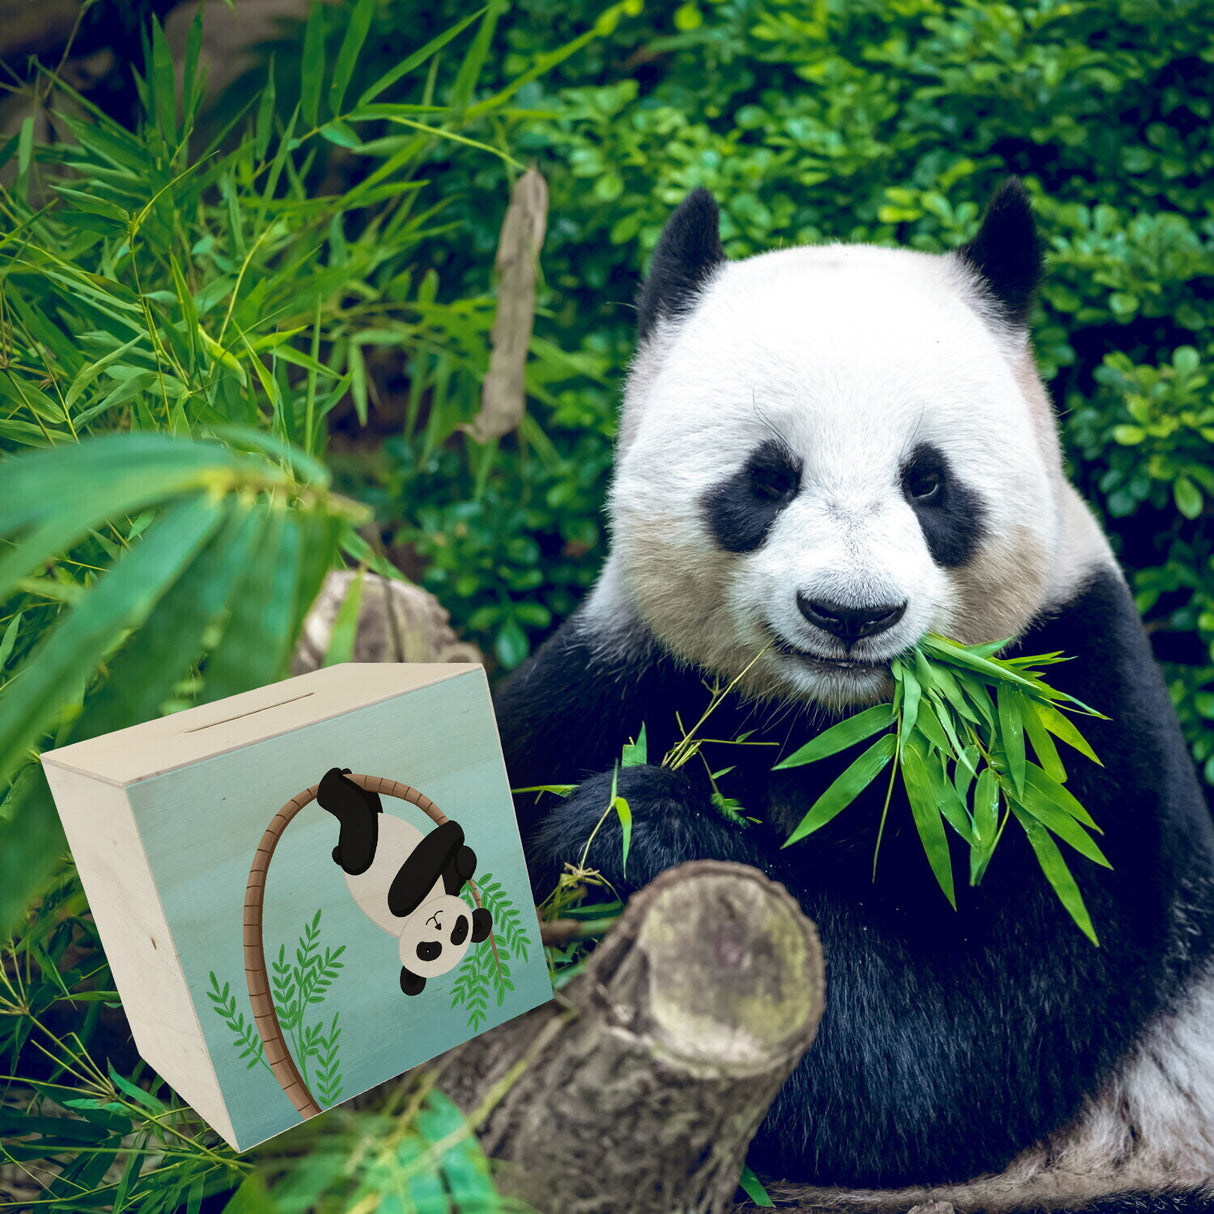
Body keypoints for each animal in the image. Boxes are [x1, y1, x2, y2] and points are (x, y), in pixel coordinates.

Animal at [315, 767, 492, 995]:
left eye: (459, 931)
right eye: (428, 950)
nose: (437, 924)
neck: (425, 907)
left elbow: (445, 868)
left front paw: (460, 850)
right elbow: (405, 891)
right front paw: (454, 835)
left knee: (360, 824)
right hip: (364, 849)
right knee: (360, 832)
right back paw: (336, 780)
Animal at [495, 181, 1214, 1211]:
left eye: (929, 481)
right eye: (768, 476)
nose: (851, 612)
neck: (834, 718)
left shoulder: (1066, 741)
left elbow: (947, 1050)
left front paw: (629, 825)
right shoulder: (618, 672)